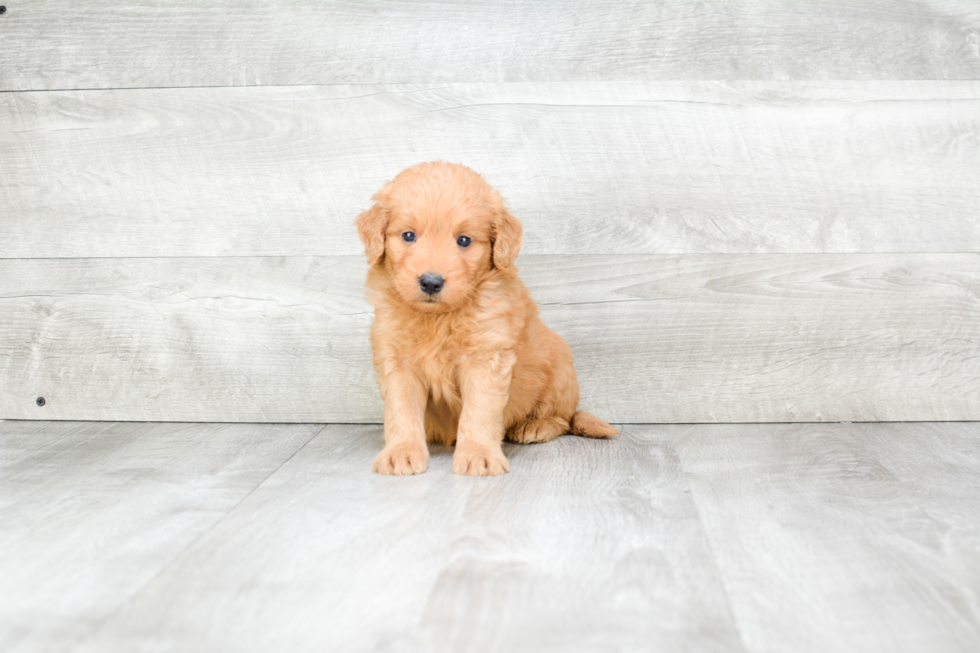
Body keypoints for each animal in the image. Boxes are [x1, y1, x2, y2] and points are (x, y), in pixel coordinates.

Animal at [356, 160, 616, 476]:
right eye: (408, 236)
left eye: (464, 240)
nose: (431, 282)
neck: (438, 318)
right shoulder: (397, 360)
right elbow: (401, 410)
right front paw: (401, 452)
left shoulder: (486, 357)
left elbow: (479, 411)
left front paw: (478, 454)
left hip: (561, 371)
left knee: (564, 418)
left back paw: (536, 426)